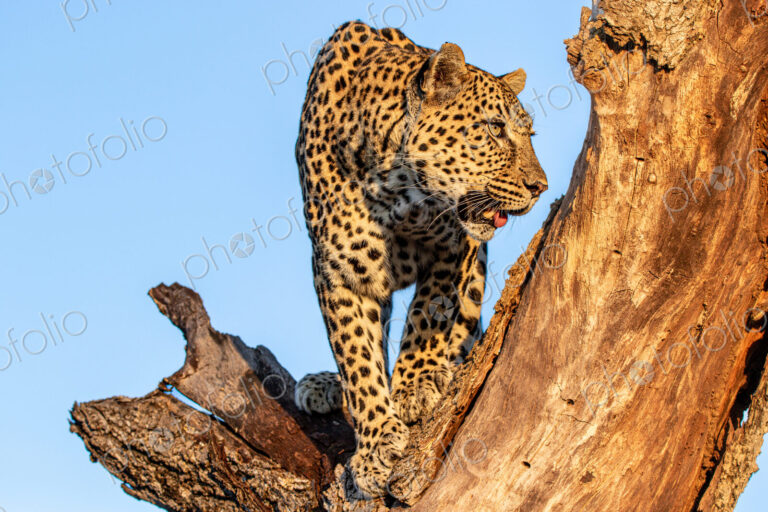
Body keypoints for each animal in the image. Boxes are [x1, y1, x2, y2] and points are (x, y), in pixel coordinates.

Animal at [293, 20, 547, 498]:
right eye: (495, 128)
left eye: (529, 135)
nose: (540, 186)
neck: (394, 190)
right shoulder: (338, 271)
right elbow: (356, 354)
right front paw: (376, 444)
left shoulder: (458, 246)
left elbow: (431, 311)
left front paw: (415, 386)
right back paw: (322, 385)